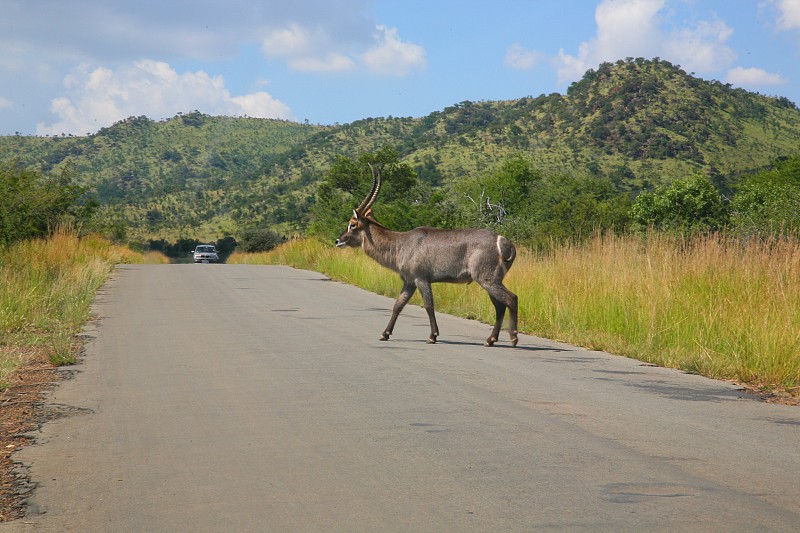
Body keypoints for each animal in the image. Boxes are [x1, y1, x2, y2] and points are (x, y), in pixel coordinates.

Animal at [332, 164, 516, 344]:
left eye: (352, 224)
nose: (338, 241)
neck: (401, 244)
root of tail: (504, 242)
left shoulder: (421, 279)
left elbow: (428, 306)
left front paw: (432, 336)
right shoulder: (409, 282)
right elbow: (398, 305)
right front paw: (385, 334)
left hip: (487, 279)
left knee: (511, 299)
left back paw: (513, 338)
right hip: (490, 281)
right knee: (500, 306)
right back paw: (491, 339)